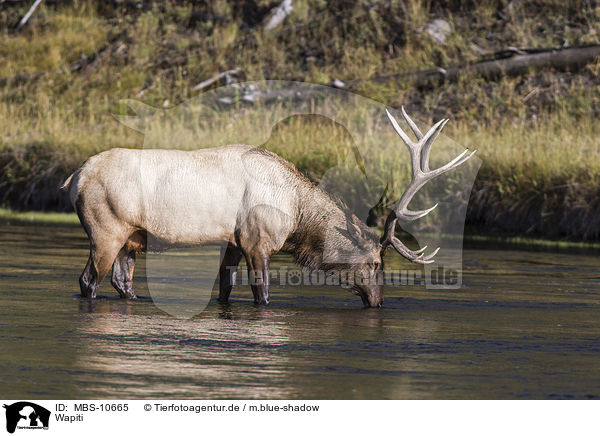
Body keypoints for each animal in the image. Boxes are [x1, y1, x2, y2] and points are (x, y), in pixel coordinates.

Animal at [61, 108, 474, 306]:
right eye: (375, 263)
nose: (378, 302)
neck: (298, 218)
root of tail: (74, 177)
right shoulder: (257, 240)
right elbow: (262, 294)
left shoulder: (231, 240)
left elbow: (226, 290)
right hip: (105, 229)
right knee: (88, 281)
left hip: (131, 236)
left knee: (122, 282)